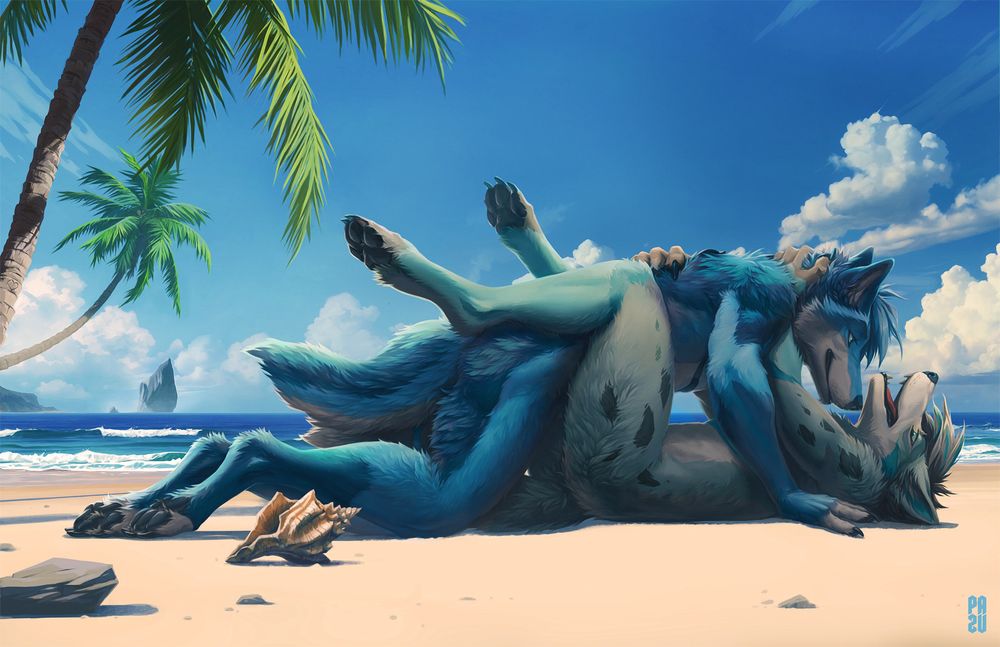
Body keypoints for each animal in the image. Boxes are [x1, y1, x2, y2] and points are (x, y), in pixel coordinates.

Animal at [68, 180, 962, 540]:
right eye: (854, 340)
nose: (844, 392)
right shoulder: (752, 319)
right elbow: (737, 373)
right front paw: (802, 499)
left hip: (454, 447)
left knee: (243, 442)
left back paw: (146, 507)